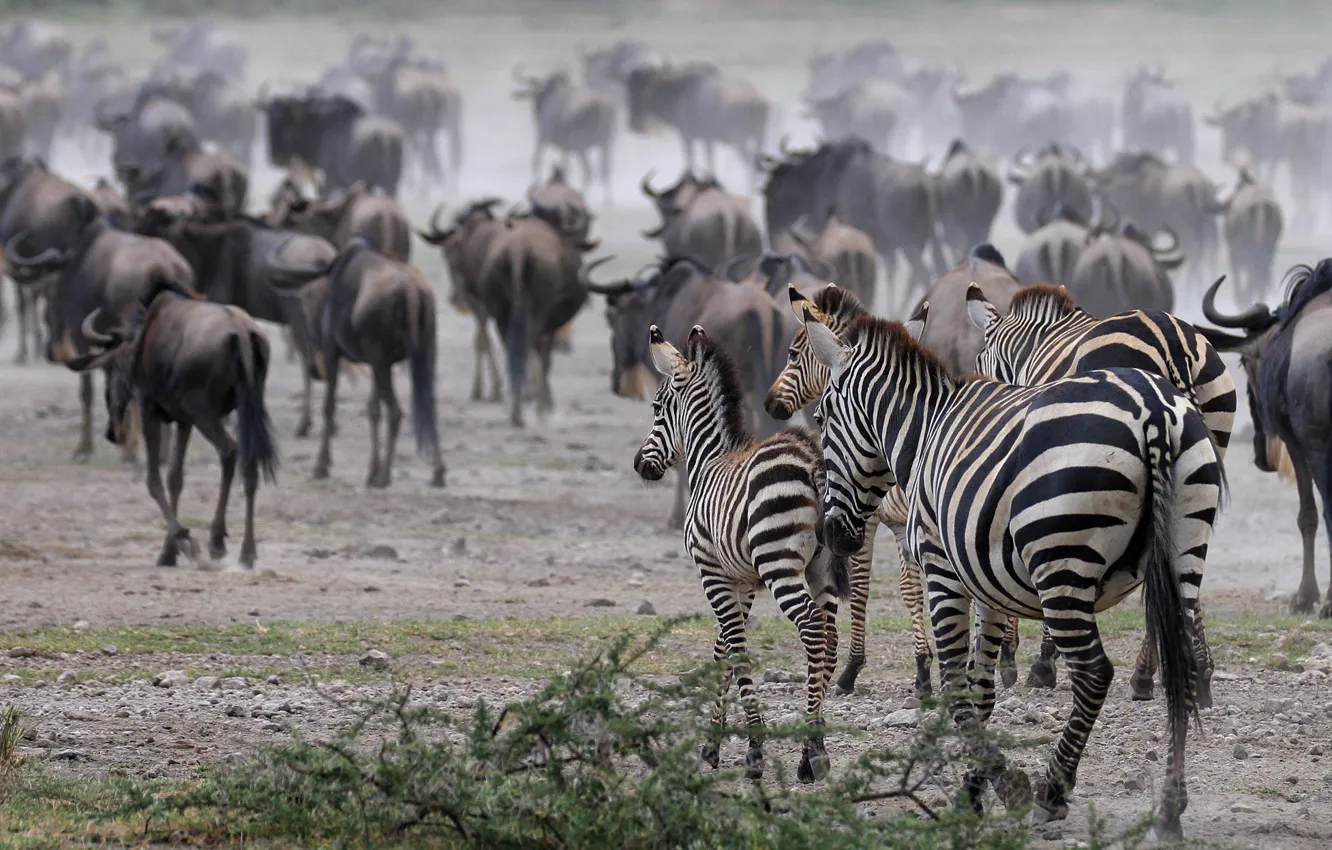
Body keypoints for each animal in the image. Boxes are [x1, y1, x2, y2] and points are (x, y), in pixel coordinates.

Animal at [633, 323, 851, 782]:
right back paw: (812, 751)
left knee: (811, 628)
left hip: (780, 563)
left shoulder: (711, 571)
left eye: (658, 408)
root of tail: (814, 461)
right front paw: (711, 747)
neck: (707, 461)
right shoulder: (743, 580)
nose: (640, 466)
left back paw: (813, 751)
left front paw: (753, 750)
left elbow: (735, 648)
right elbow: (722, 650)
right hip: (821, 568)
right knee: (829, 637)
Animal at [764, 282, 1021, 698]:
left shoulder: (871, 521)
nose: (770, 404)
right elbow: (911, 589)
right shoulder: (901, 525)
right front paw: (924, 668)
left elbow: (865, 586)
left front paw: (852, 670)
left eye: (792, 353)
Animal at [802, 304, 1223, 839]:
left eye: (821, 417)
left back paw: (1053, 793)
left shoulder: (943, 569)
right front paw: (973, 792)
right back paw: (1169, 807)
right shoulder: (988, 585)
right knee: (1179, 668)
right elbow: (981, 692)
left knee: (1094, 672)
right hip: (1186, 548)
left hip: (1061, 562)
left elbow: (956, 688)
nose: (835, 536)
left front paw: (1006, 785)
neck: (923, 434)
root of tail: (1152, 408)